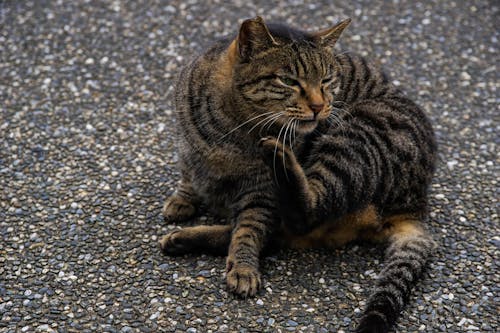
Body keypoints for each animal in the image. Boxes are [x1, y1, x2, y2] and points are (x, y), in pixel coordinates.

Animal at [158, 16, 436, 332]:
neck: (232, 129)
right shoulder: (187, 142)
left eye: (327, 81)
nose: (319, 106)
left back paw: (280, 158)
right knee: (283, 231)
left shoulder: (261, 190)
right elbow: (188, 171)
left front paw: (243, 267)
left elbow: (249, 231)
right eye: (289, 80)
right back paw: (181, 238)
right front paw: (182, 198)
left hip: (354, 136)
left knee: (304, 214)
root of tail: (416, 206)